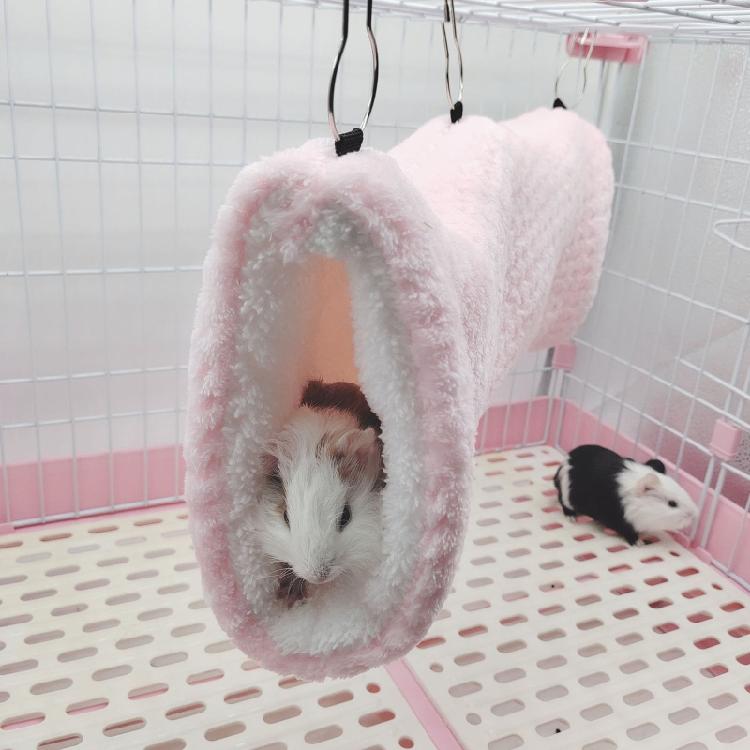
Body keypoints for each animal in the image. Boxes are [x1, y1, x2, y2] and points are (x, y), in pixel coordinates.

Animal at [553, 444, 697, 545]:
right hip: (567, 498)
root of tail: (564, 464)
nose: (693, 515)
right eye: (672, 504)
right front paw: (640, 543)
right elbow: (630, 533)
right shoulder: (622, 522)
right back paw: (572, 518)